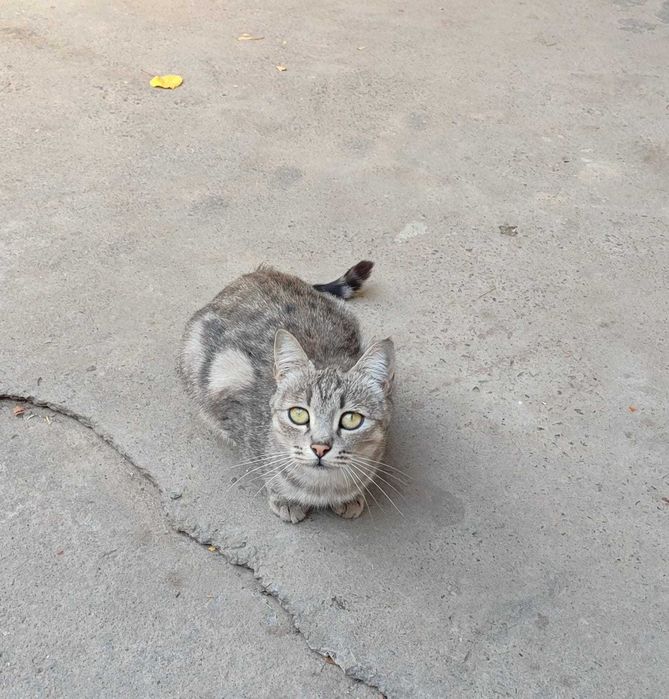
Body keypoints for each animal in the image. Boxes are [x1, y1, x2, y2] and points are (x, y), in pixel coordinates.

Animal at [178, 261, 395, 524]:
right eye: (298, 414)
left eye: (351, 419)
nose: (319, 448)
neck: (322, 488)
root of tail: (257, 273)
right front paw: (285, 498)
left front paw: (350, 496)